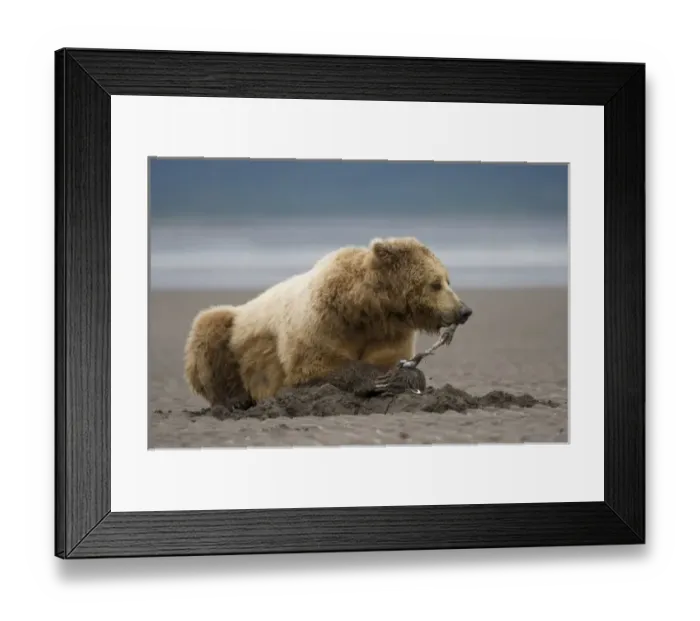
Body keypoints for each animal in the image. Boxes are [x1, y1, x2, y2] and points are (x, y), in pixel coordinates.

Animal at [183, 236, 472, 407]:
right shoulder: (321, 321)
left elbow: (393, 360)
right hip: (234, 328)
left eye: (448, 279)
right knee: (209, 326)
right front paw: (377, 380)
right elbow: (314, 365)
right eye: (435, 283)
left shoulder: (388, 332)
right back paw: (234, 401)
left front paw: (400, 376)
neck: (364, 310)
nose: (464, 310)